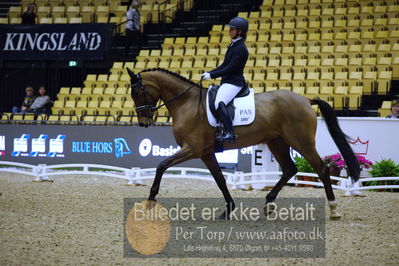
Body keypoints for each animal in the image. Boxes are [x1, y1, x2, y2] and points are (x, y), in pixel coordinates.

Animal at [126, 68, 360, 220]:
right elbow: (220, 180)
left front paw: (150, 200)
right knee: (289, 169)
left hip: (302, 142)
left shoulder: (192, 149)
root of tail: (305, 99)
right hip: (277, 142)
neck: (187, 103)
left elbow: (161, 166)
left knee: (321, 169)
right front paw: (228, 209)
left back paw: (334, 209)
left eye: (137, 92)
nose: (143, 123)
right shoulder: (206, 153)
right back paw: (269, 204)